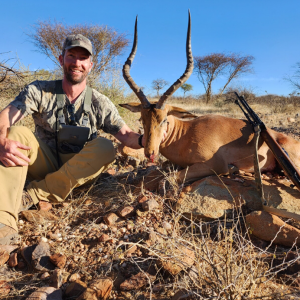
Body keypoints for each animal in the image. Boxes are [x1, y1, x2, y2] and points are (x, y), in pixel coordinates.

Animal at [120, 13, 300, 185]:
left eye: (164, 120)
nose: (149, 153)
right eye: (142, 119)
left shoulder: (214, 165)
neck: (185, 134)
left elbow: (168, 179)